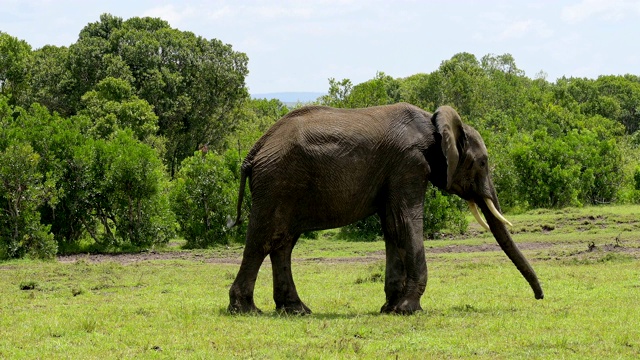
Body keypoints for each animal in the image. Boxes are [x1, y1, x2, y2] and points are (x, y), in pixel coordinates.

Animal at [228, 102, 544, 314]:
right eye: (482, 163)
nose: (539, 297)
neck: (433, 123)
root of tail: (255, 149)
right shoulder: (409, 164)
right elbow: (406, 222)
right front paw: (407, 309)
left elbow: (393, 226)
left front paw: (390, 307)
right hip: (277, 182)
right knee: (263, 239)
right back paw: (246, 310)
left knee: (283, 243)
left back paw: (296, 310)